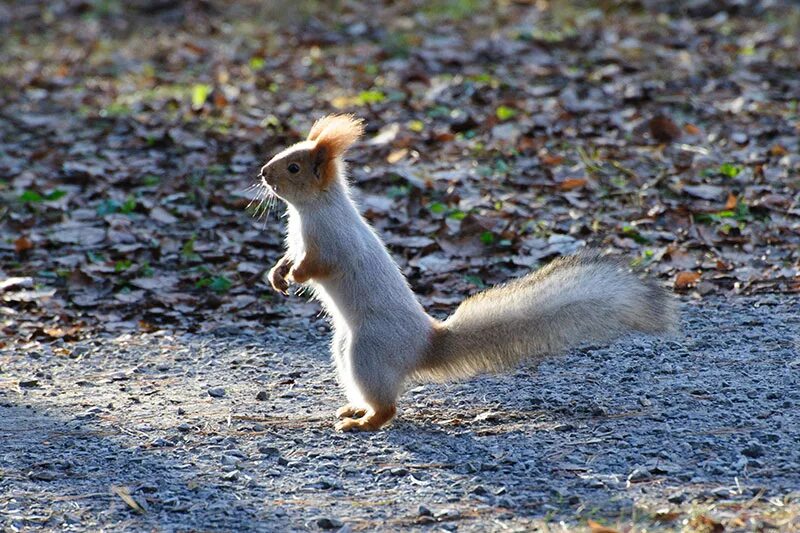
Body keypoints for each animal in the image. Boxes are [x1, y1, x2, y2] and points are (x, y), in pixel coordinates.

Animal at [260, 114, 680, 430]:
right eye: (284, 154)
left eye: (293, 167)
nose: (264, 172)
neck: (311, 210)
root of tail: (425, 344)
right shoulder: (297, 241)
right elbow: (289, 257)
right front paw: (278, 274)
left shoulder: (332, 242)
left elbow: (319, 264)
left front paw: (296, 277)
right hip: (346, 348)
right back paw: (354, 409)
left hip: (368, 349)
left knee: (388, 406)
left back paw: (364, 422)